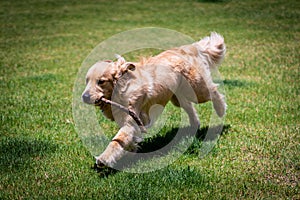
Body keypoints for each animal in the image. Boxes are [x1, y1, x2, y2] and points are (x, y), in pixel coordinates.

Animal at [81, 32, 226, 167]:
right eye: (87, 81)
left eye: (101, 81)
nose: (84, 97)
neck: (121, 88)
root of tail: (188, 48)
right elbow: (125, 141)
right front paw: (130, 150)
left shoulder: (131, 120)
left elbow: (116, 141)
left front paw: (104, 158)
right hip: (177, 97)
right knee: (189, 107)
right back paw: (194, 125)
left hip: (196, 89)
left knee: (213, 91)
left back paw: (221, 110)